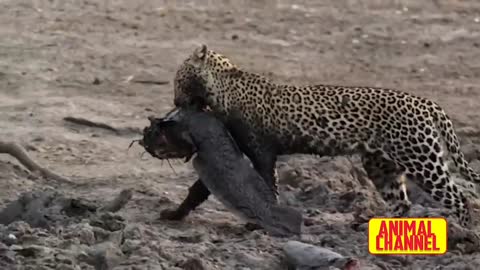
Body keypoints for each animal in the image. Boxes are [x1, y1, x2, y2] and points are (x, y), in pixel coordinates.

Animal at [166, 44, 480, 228]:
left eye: (178, 77)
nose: (176, 101)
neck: (222, 86)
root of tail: (428, 102)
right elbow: (202, 187)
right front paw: (175, 214)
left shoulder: (261, 153)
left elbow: (266, 186)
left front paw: (260, 223)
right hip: (381, 165)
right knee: (402, 203)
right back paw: (371, 227)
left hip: (422, 160)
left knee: (459, 197)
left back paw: (466, 235)